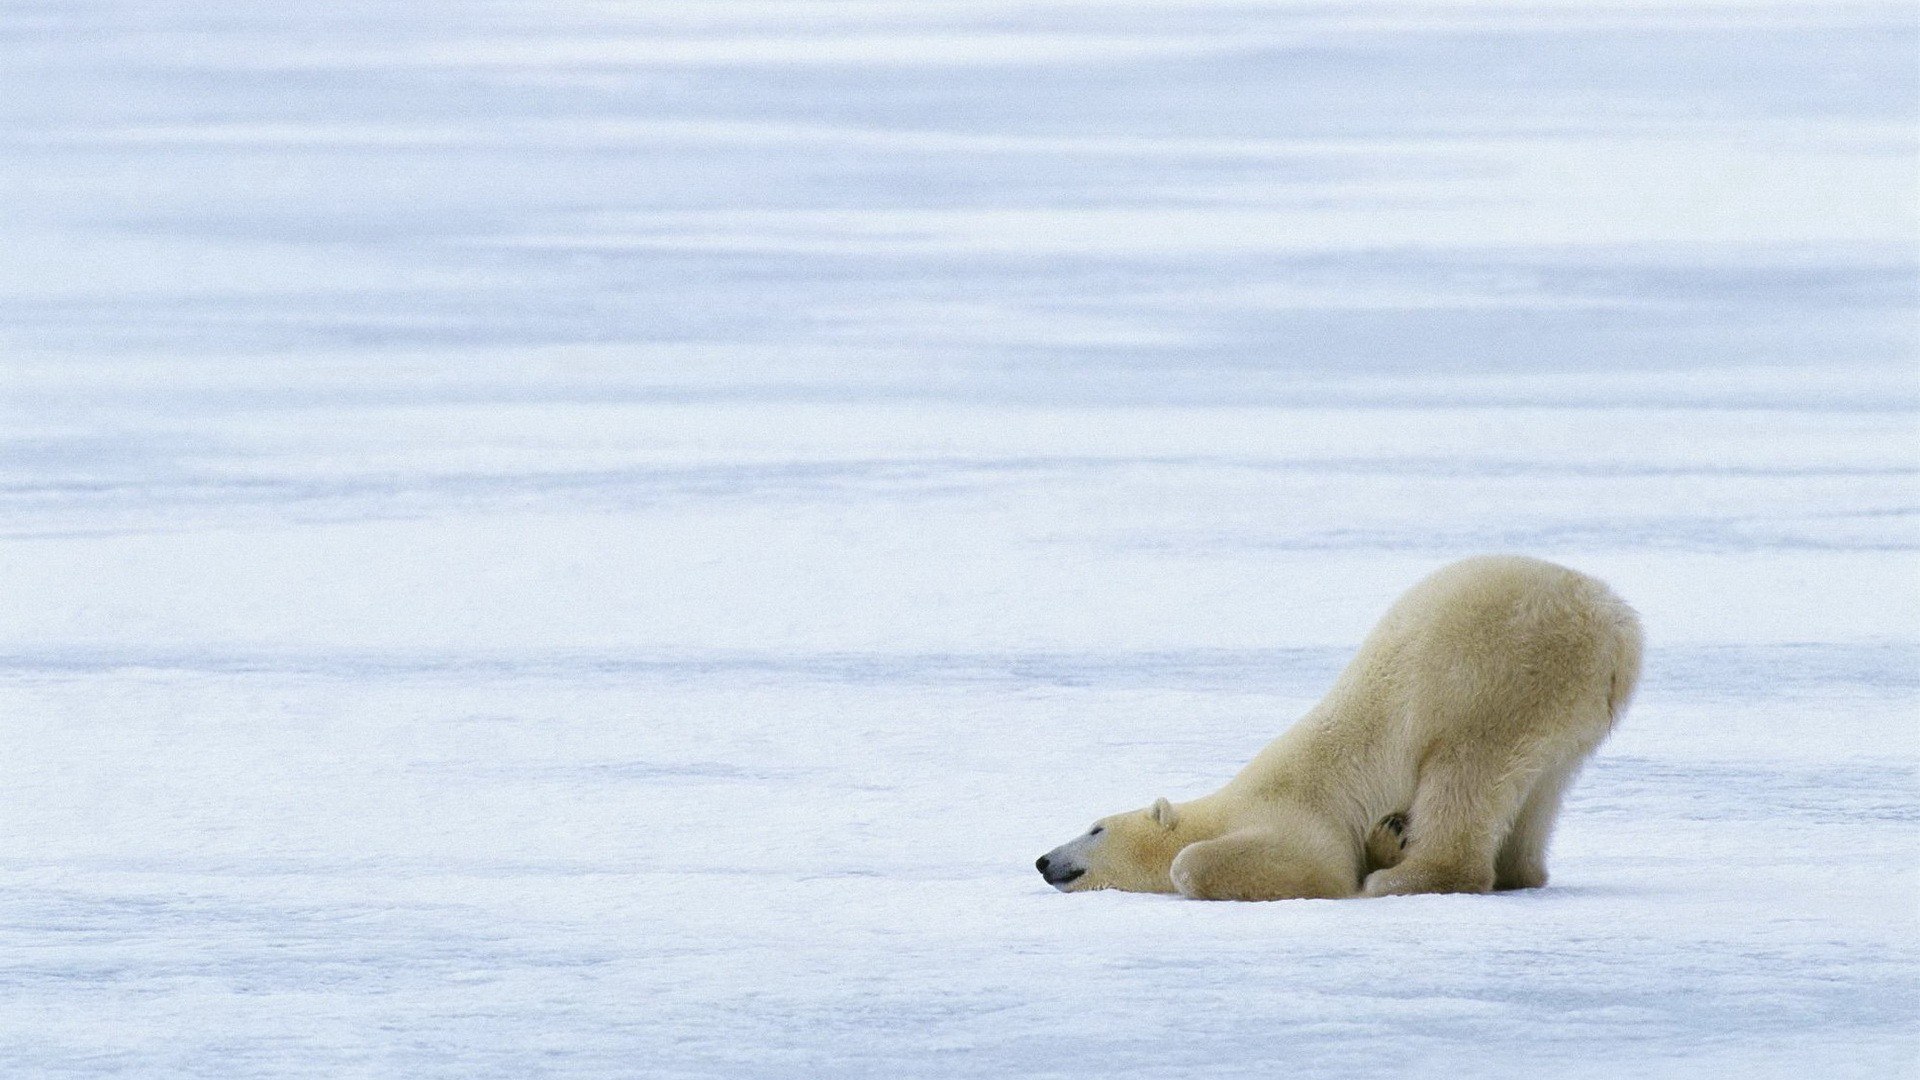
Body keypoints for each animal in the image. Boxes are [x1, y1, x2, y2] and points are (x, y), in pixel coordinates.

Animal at [1035, 555, 1642, 900]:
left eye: (1095, 828)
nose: (1042, 860)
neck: (1227, 806)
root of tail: (1616, 626)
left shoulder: (1298, 816)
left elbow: (1295, 866)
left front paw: (1369, 866)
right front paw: (1388, 837)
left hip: (1498, 676)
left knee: (1465, 774)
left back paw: (1406, 880)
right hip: (1569, 711)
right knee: (1541, 789)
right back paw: (1516, 869)